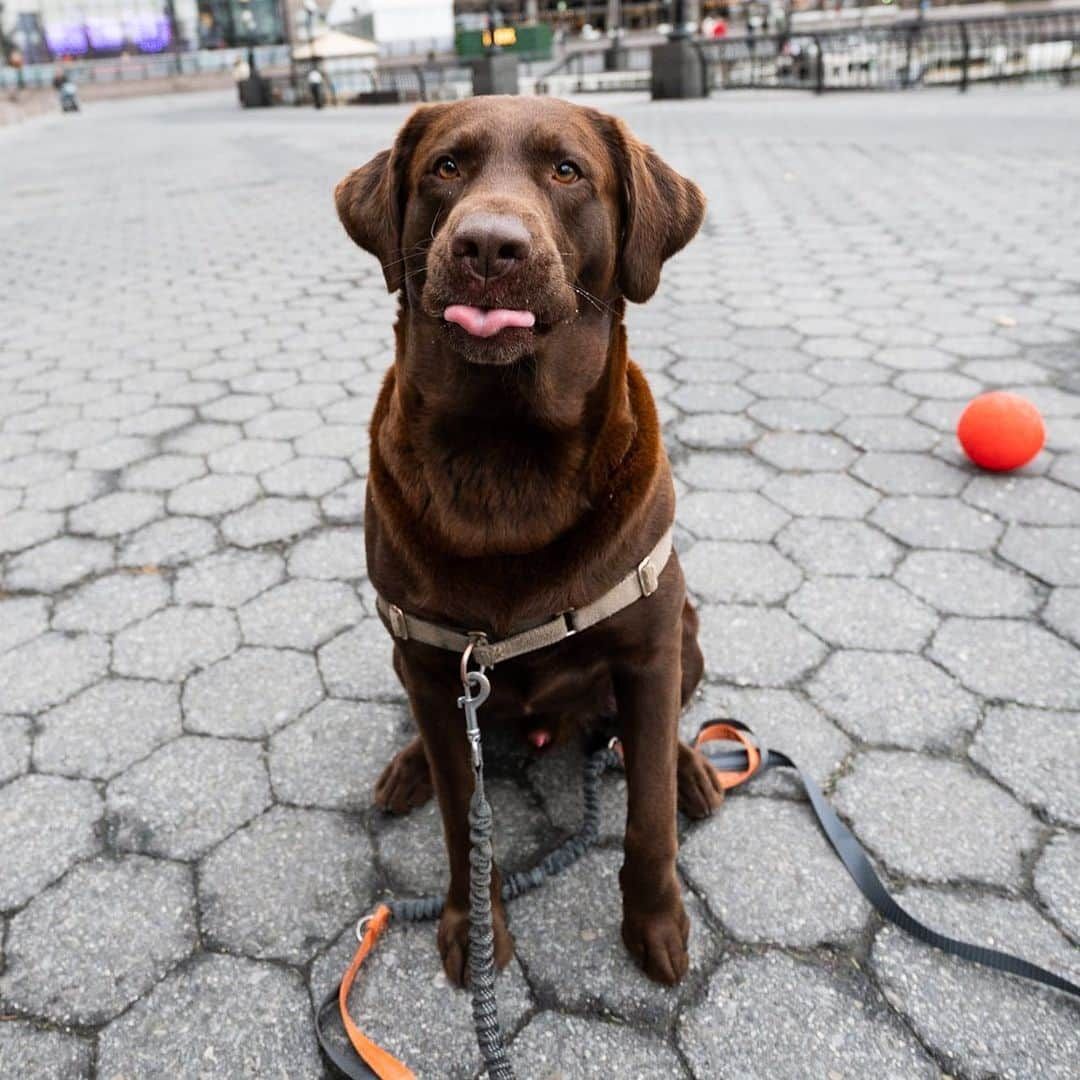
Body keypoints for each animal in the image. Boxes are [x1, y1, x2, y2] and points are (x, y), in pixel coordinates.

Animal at [334, 99, 725, 989]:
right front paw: (470, 928)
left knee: (664, 734)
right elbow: (461, 821)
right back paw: (408, 765)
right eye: (445, 167)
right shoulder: (436, 665)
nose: (487, 246)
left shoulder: (649, 648)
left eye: (567, 171)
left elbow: (649, 812)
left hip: (686, 635)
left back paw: (692, 767)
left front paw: (655, 923)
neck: (505, 455)